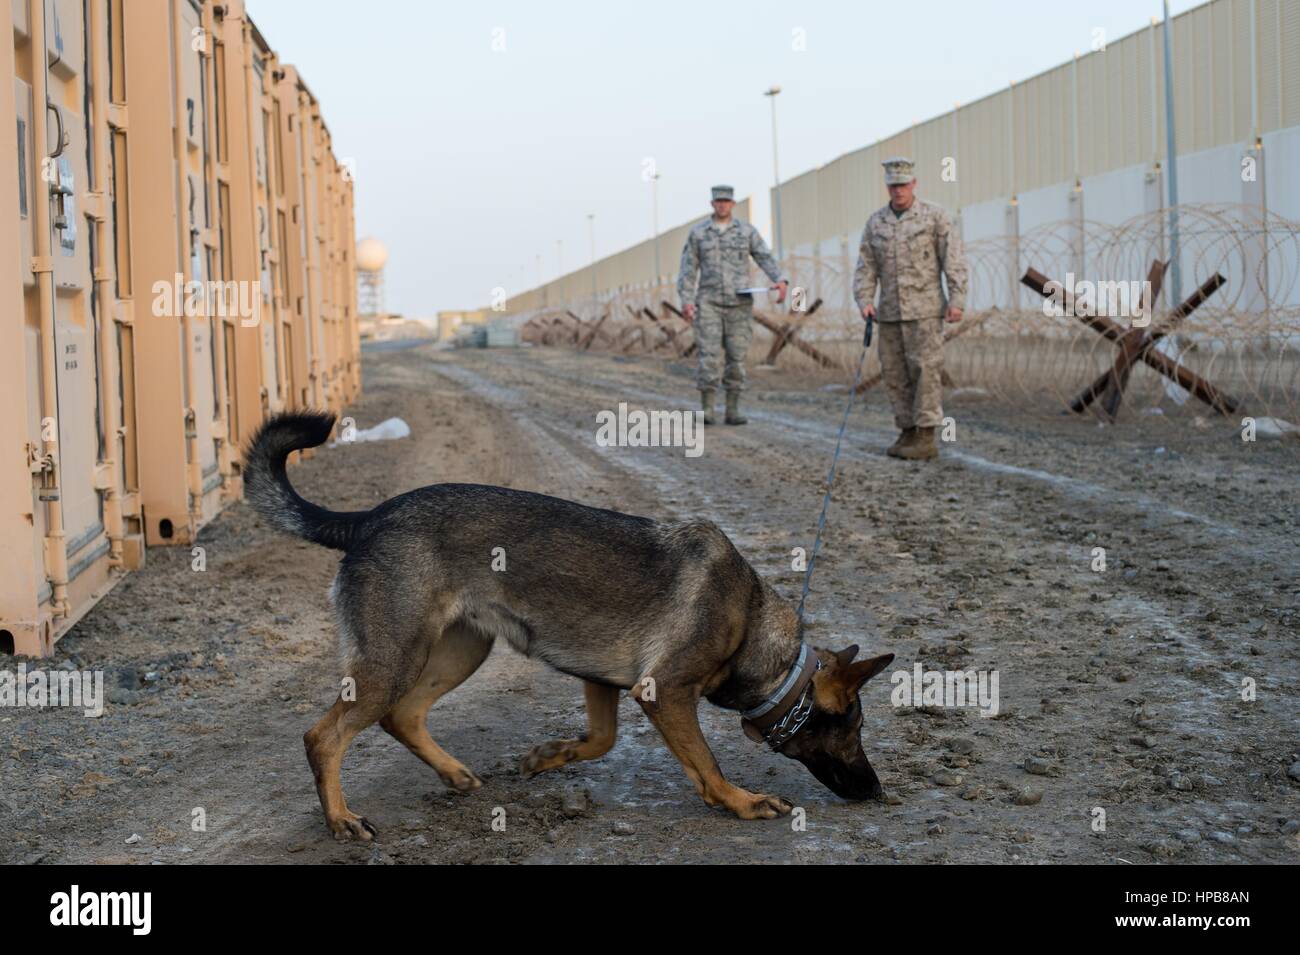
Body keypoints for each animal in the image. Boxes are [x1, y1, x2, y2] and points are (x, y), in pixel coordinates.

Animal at [244, 415, 894, 841]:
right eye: (853, 727)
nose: (877, 793)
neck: (755, 627)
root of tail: (369, 518)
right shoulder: (665, 692)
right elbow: (707, 765)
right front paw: (742, 802)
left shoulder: (603, 681)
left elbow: (601, 740)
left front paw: (547, 757)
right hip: (393, 659)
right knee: (325, 736)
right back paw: (340, 819)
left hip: (461, 650)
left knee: (402, 716)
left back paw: (453, 773)